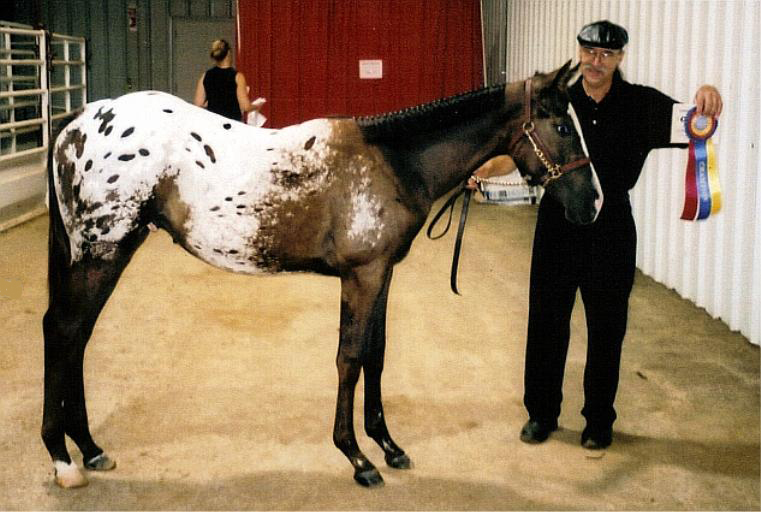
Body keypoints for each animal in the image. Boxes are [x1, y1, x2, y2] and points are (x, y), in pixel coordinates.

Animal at [43, 60, 600, 488]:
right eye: (563, 126)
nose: (592, 204)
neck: (392, 159)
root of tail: (77, 123)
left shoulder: (381, 274)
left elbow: (376, 355)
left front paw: (389, 446)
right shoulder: (361, 276)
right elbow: (349, 359)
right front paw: (356, 457)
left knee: (75, 337)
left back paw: (89, 449)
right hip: (103, 254)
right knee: (64, 332)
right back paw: (64, 459)